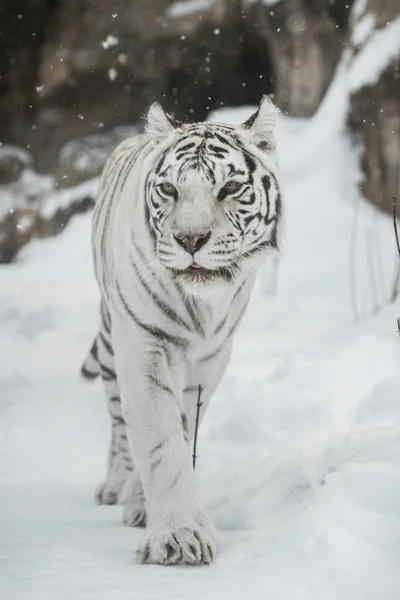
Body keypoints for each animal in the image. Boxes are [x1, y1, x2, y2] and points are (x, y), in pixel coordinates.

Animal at [81, 96, 282, 564]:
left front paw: (155, 512)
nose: (191, 239)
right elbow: (158, 437)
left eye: (230, 188)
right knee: (119, 420)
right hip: (111, 338)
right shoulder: (141, 341)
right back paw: (115, 487)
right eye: (169, 190)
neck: (198, 306)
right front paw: (177, 536)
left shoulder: (212, 357)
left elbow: (182, 428)